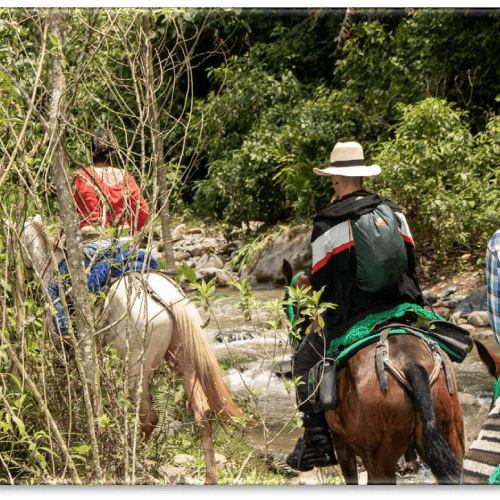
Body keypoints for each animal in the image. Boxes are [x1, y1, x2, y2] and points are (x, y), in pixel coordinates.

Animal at [19, 216, 244, 484]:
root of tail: (167, 296)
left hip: (136, 367)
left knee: (149, 417)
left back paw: (134, 464)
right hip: (182, 359)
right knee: (202, 414)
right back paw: (210, 477)